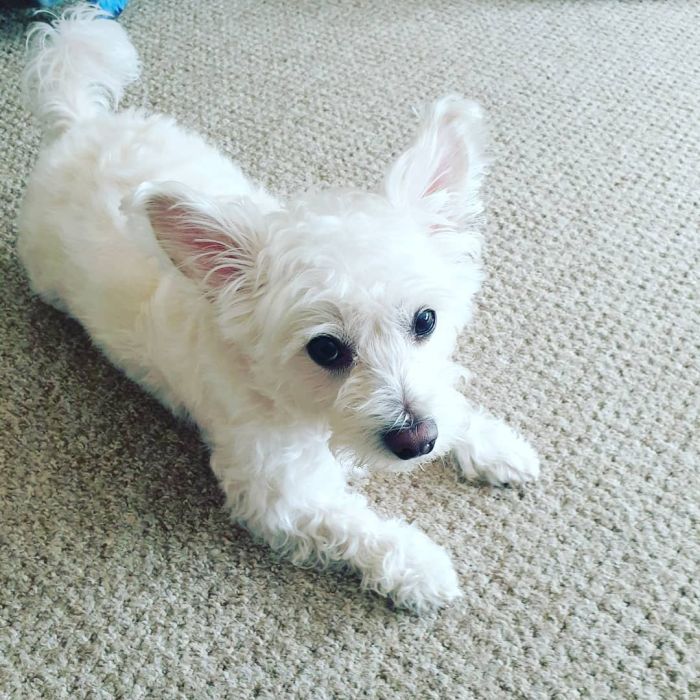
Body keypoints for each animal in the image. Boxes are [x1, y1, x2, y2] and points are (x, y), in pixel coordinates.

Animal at [17, 2, 540, 608]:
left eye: (426, 320)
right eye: (326, 349)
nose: (416, 441)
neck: (307, 411)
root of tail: (75, 124)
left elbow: (450, 400)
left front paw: (496, 445)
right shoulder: (280, 493)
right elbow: (354, 526)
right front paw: (420, 566)